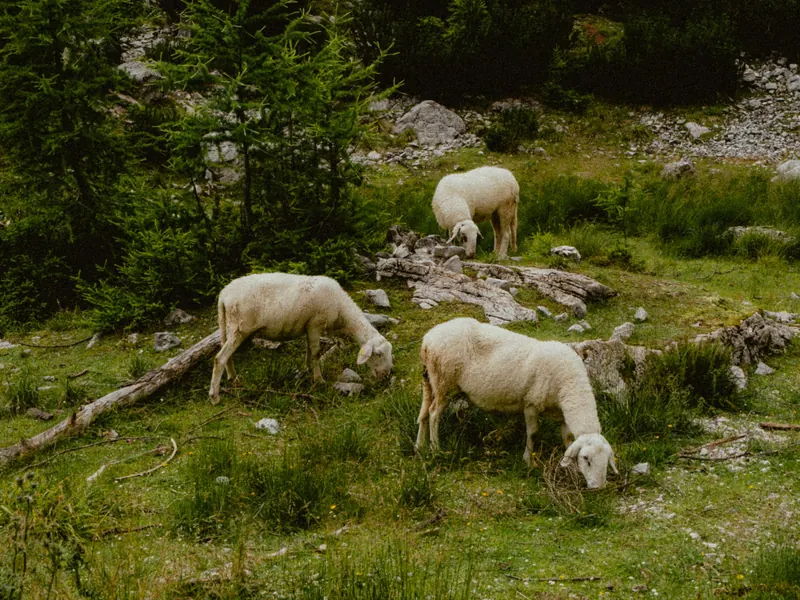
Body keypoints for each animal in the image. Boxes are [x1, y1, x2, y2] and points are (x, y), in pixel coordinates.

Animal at [208, 273, 393, 404]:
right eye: (377, 354)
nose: (386, 375)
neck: (342, 312)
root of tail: (224, 295)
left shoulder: (308, 326)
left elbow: (309, 350)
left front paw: (308, 368)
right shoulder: (316, 324)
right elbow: (316, 352)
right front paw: (319, 379)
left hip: (228, 326)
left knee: (227, 355)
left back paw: (233, 378)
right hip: (240, 328)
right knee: (220, 358)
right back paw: (215, 397)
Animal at [415, 317, 617, 489]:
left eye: (606, 461)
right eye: (586, 458)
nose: (598, 487)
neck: (569, 382)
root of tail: (428, 339)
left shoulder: (562, 414)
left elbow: (567, 438)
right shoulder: (531, 404)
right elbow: (533, 434)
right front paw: (529, 461)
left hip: (430, 380)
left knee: (423, 413)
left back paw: (419, 446)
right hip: (444, 382)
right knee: (433, 413)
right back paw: (436, 449)